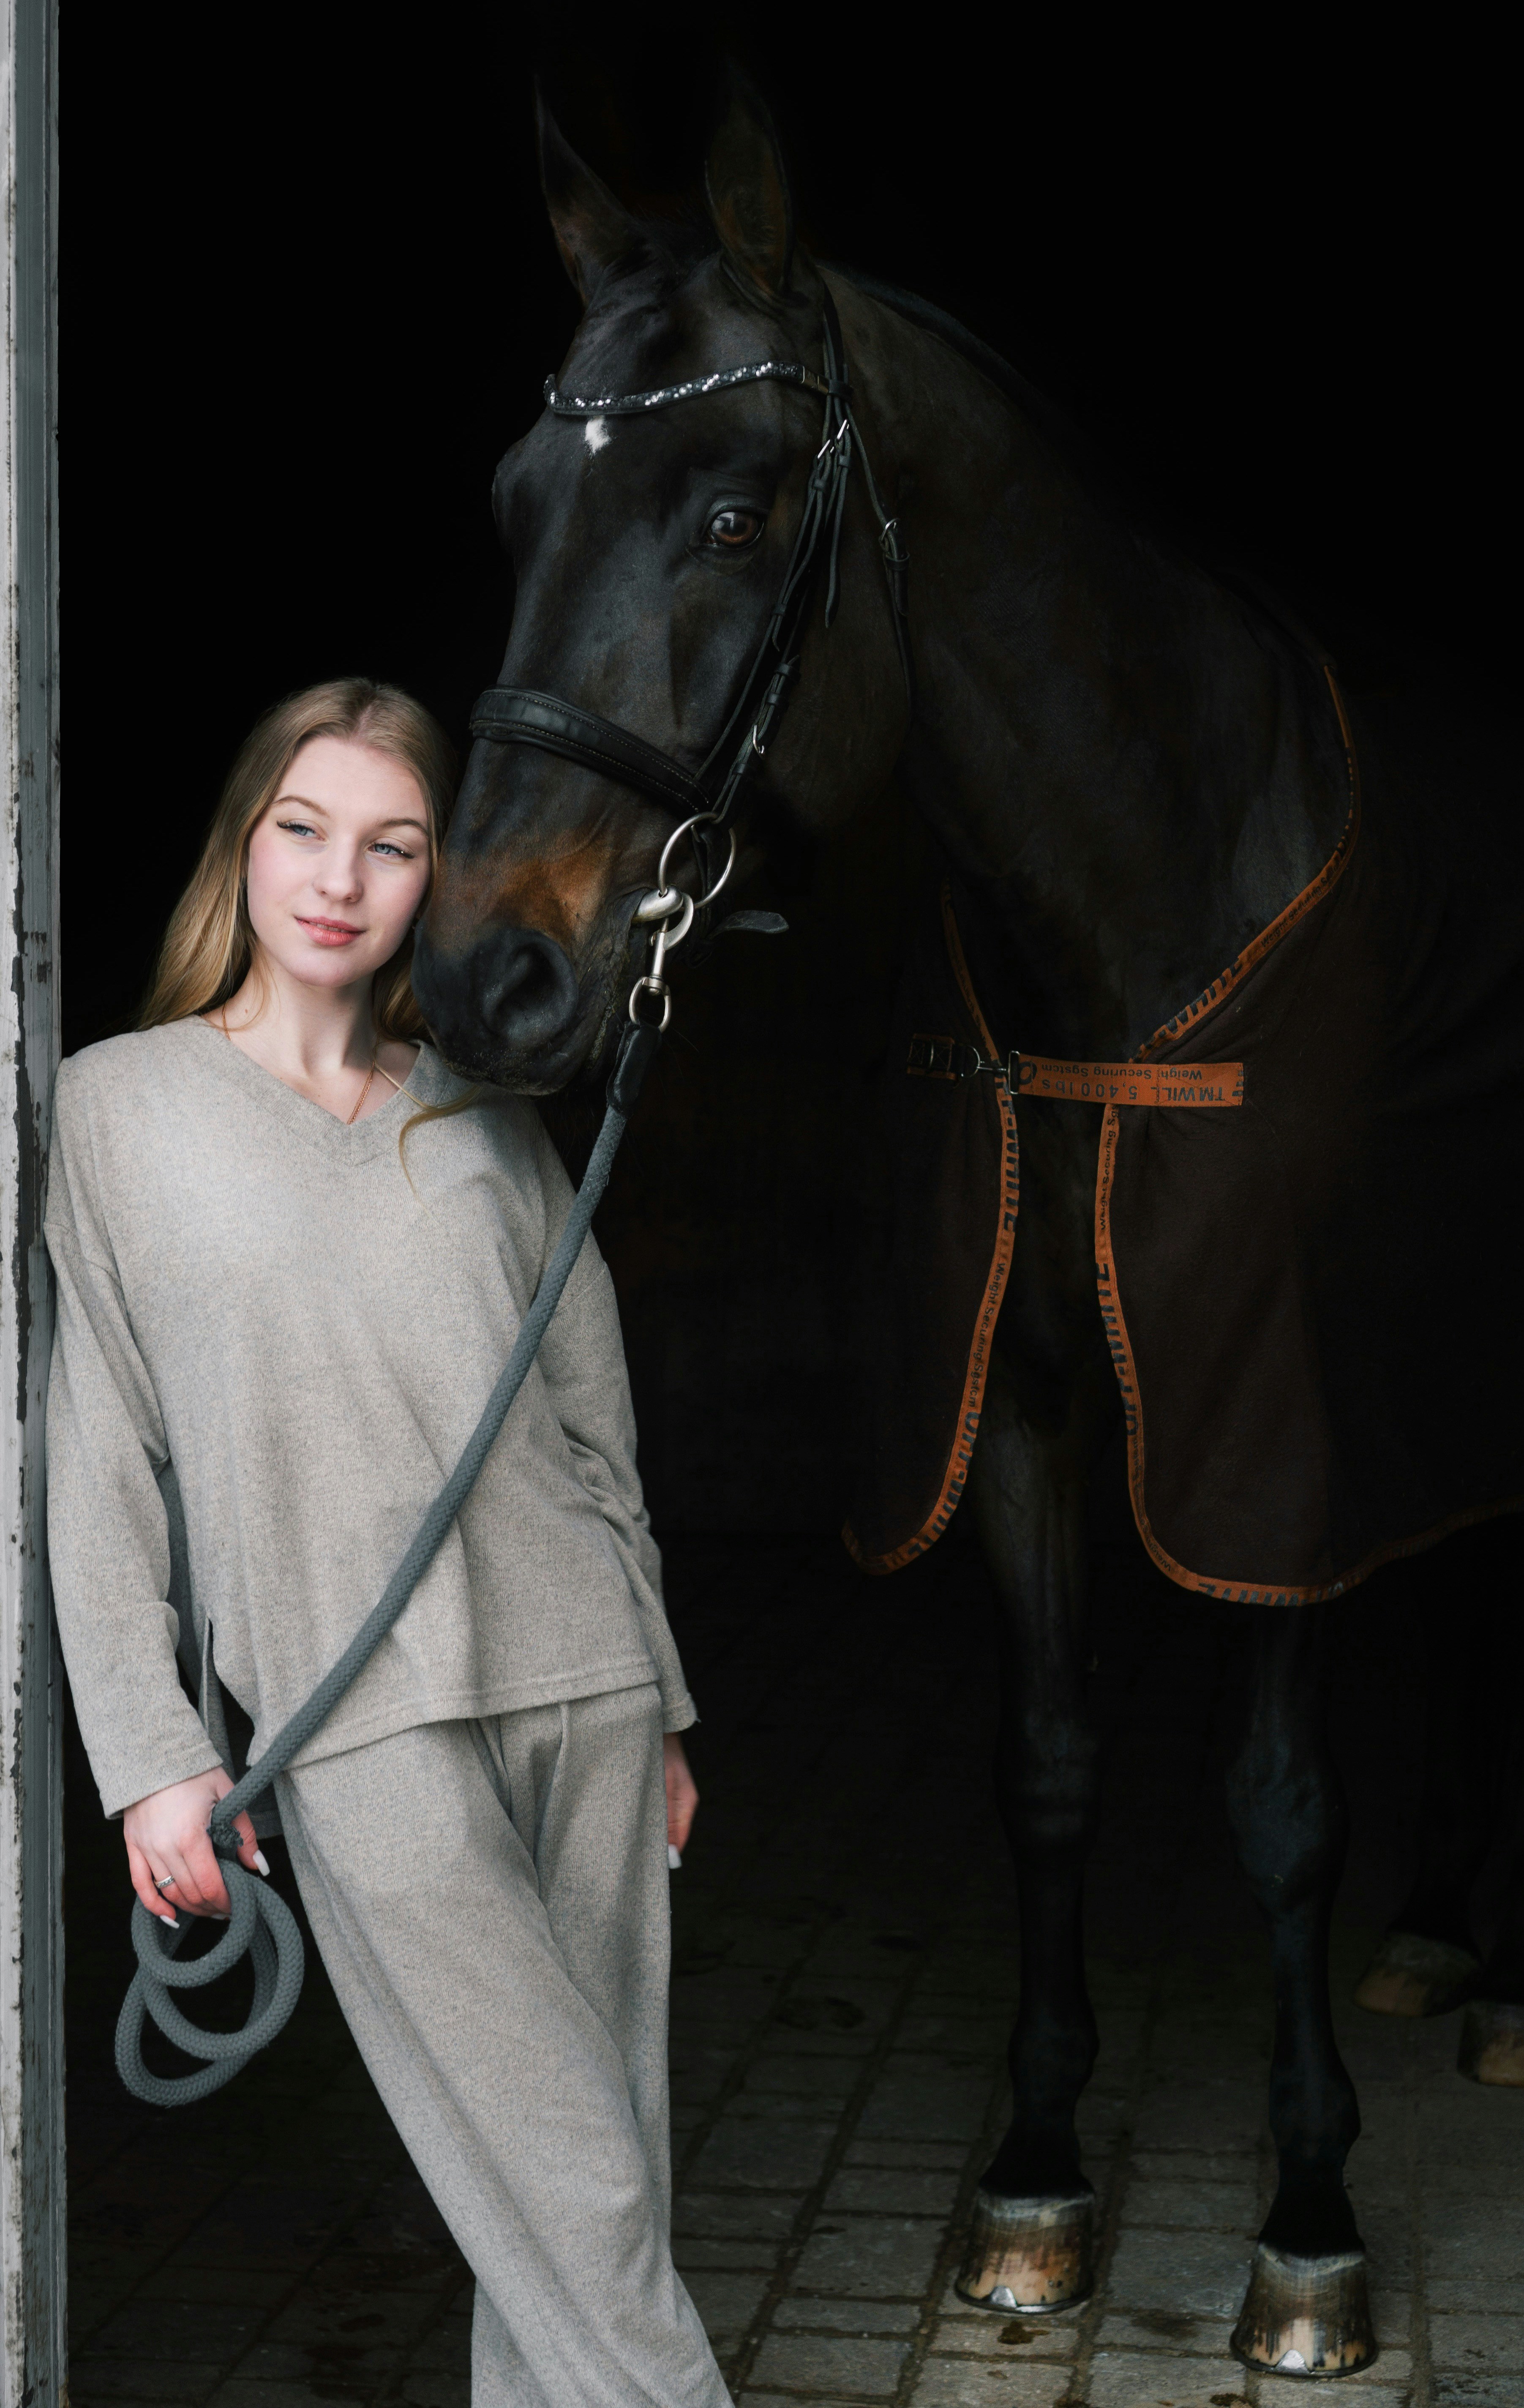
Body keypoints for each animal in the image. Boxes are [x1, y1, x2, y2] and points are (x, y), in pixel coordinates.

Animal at [412, 78, 1524, 2380]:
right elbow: (1044, 1766)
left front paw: (1305, 2218)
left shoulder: (1265, 1446)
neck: (1126, 921)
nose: (485, 979)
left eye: (739, 511)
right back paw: (1443, 1934)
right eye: (512, 499)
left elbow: (1277, 1808)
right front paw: (1029, 2175)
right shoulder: (1012, 1404)